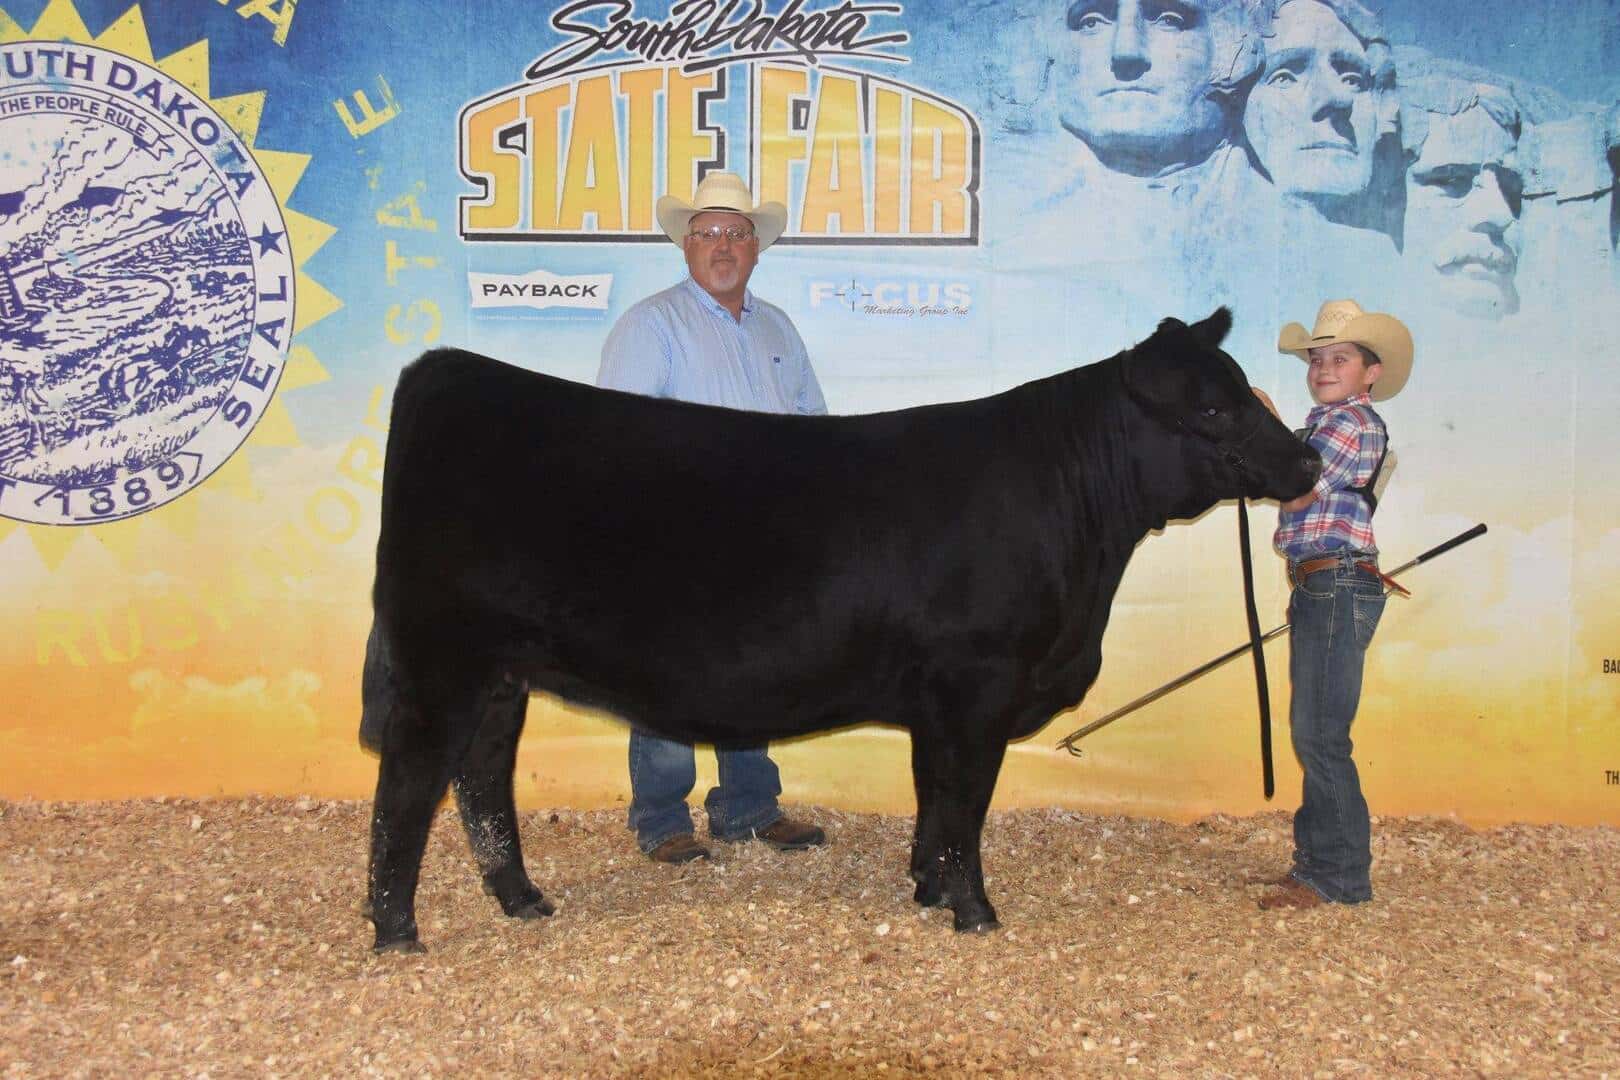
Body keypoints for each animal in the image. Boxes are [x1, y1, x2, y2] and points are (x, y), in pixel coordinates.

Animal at [360, 308, 1320, 952]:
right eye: (1212, 409)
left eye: (1246, 390)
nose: (1309, 459)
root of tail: (448, 374)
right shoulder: (980, 683)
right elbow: (966, 800)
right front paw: (976, 911)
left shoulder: (943, 700)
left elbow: (935, 797)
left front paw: (928, 888)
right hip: (443, 659)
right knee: (410, 782)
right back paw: (395, 928)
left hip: (501, 673)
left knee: (482, 781)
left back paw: (522, 900)